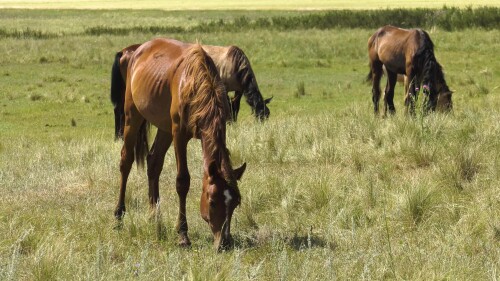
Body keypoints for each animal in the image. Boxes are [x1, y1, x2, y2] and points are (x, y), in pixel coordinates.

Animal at [111, 42, 272, 139]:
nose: (263, 129)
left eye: (267, 115)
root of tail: (124, 52)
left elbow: (235, 107)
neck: (235, 64)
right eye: (259, 115)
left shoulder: (238, 90)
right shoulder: (224, 87)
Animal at [114, 37, 246, 249]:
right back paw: (119, 216)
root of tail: (135, 50)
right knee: (126, 161)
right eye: (212, 201)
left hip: (164, 128)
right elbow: (182, 181)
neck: (196, 83)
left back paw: (154, 216)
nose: (224, 243)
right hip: (132, 117)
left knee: (154, 162)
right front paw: (183, 234)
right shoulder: (179, 135)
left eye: (235, 203)